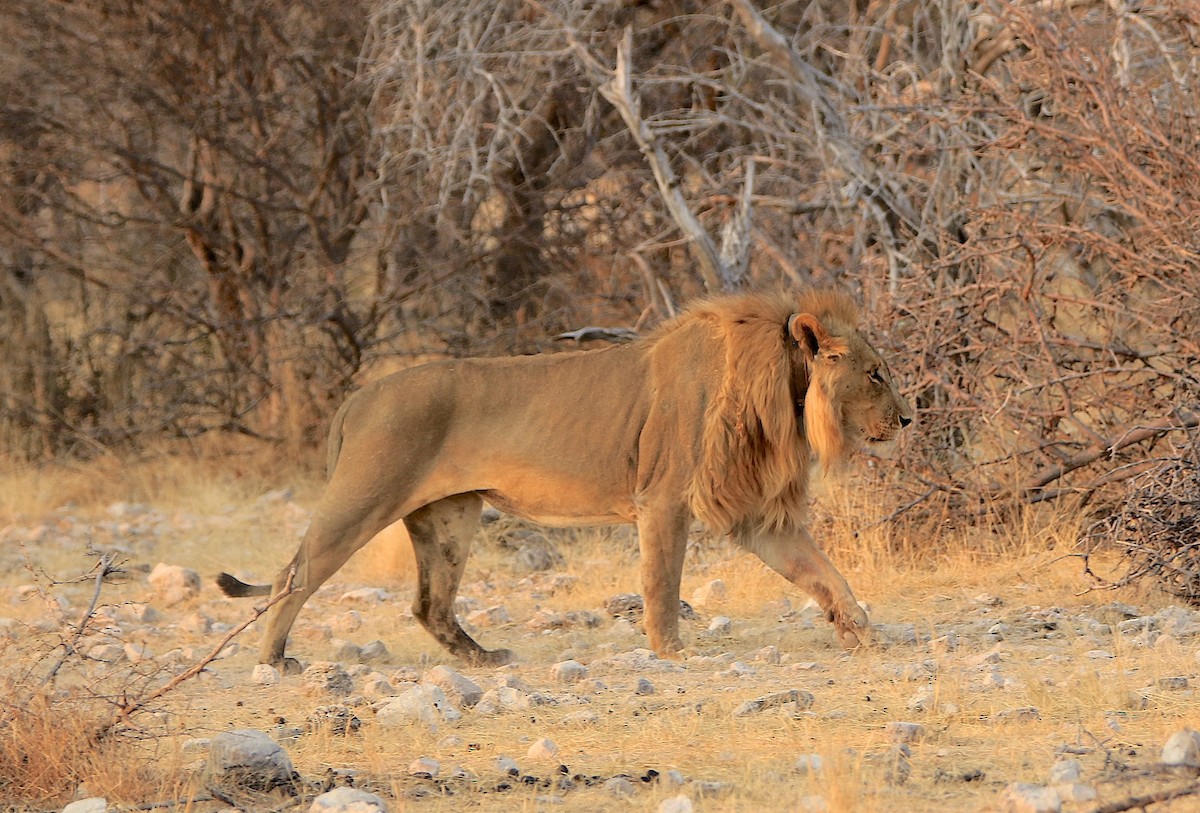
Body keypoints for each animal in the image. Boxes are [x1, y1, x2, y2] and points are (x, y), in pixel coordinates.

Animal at [218, 289, 912, 672]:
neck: (783, 388)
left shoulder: (754, 514)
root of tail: (358, 396)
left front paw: (863, 631)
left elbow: (823, 573)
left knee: (429, 604)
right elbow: (661, 584)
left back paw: (486, 658)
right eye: (876, 373)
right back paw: (273, 661)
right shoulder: (663, 498)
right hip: (364, 495)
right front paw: (671, 653)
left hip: (449, 517)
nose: (908, 419)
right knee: (292, 575)